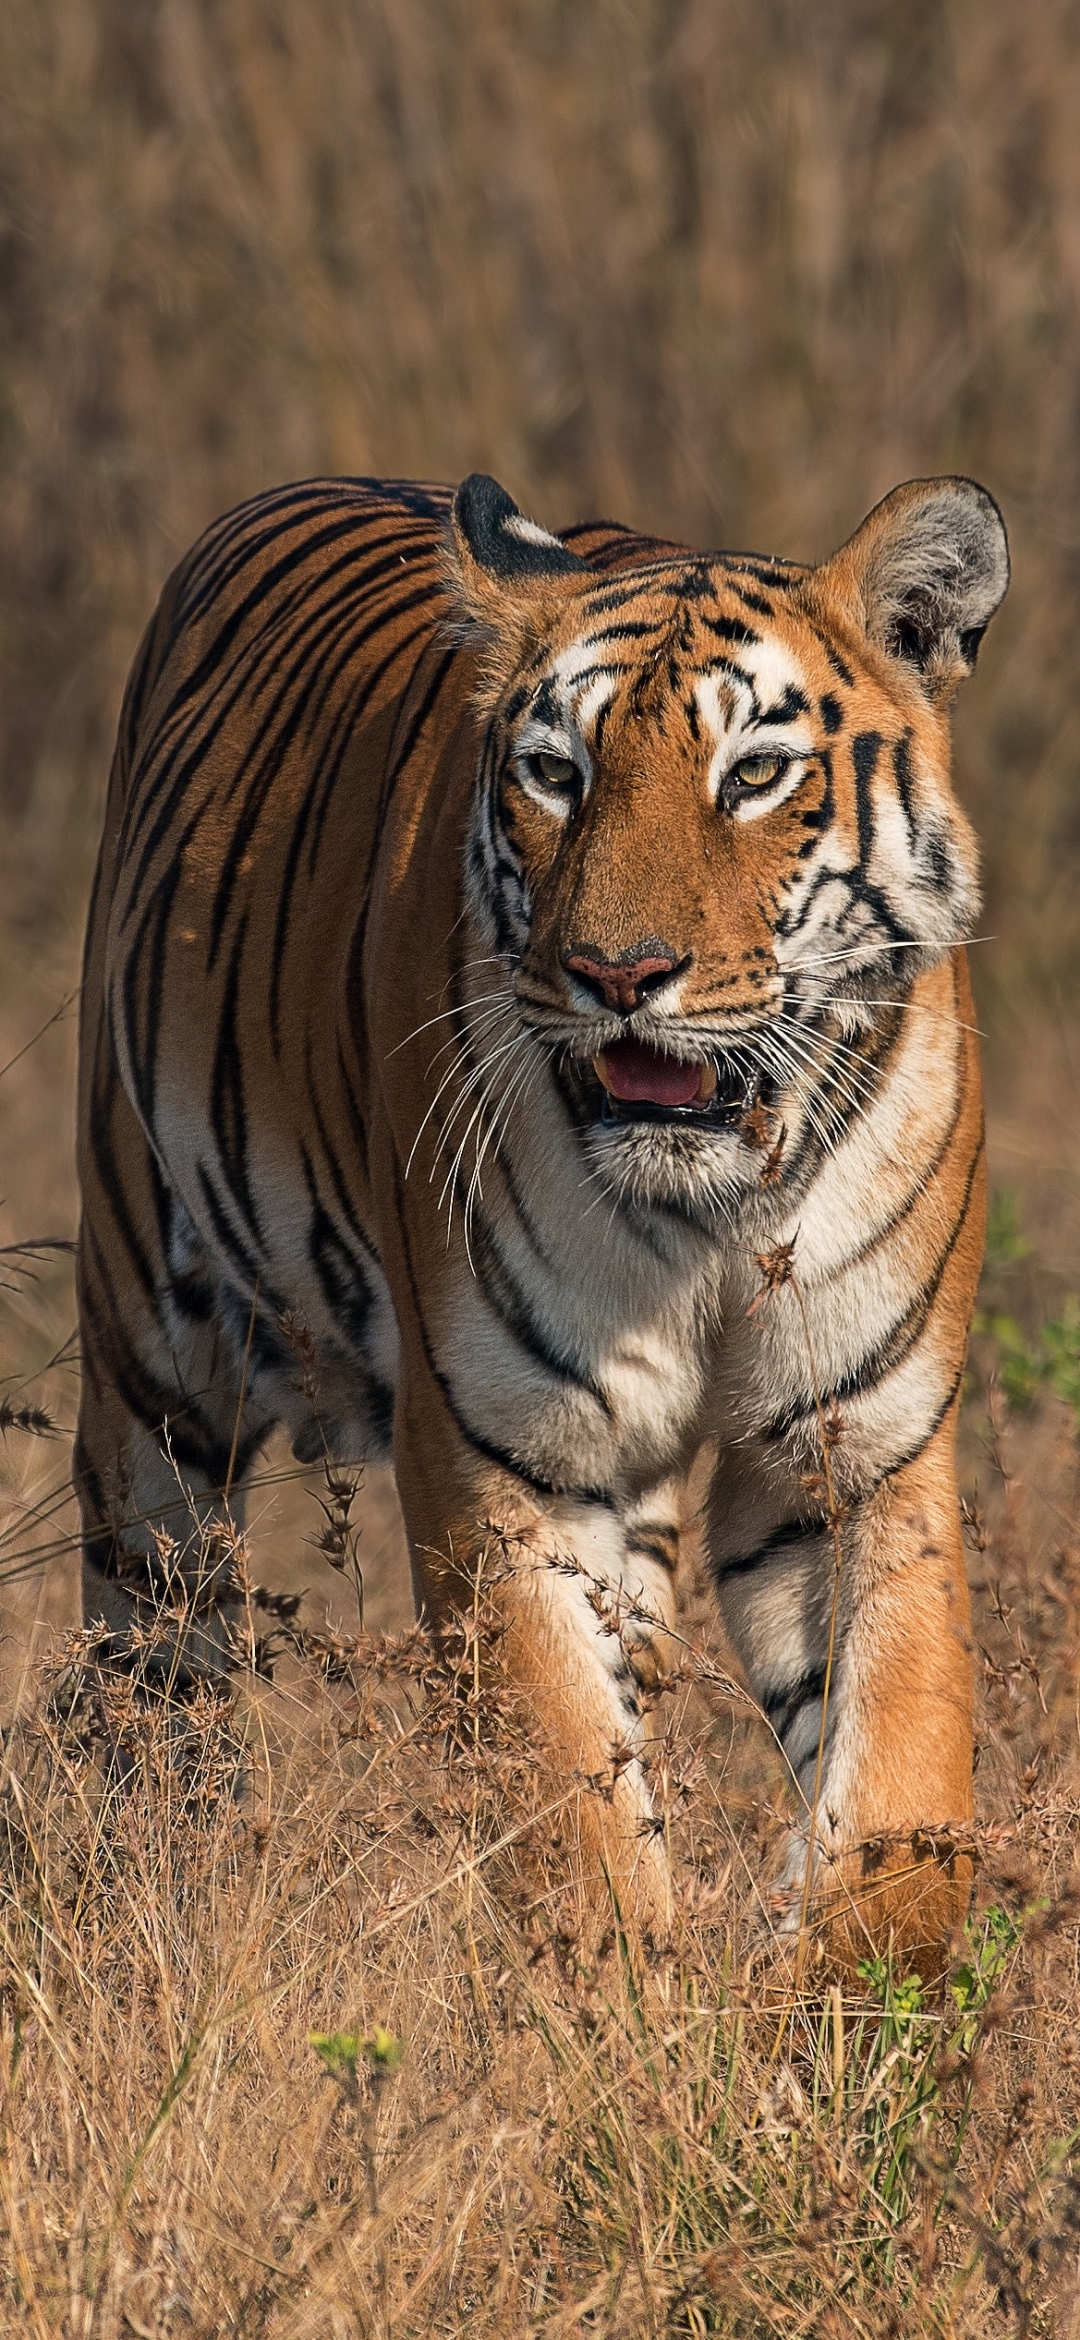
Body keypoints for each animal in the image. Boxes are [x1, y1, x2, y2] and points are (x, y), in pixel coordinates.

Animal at [78, 456, 1014, 1956]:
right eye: (556, 776)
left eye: (756, 775)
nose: (618, 973)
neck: (715, 1217)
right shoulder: (499, 1458)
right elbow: (575, 1824)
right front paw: (635, 2003)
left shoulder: (860, 1445)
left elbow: (904, 1806)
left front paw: (834, 1996)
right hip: (156, 1357)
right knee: (150, 1662)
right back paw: (150, 1885)